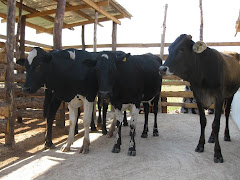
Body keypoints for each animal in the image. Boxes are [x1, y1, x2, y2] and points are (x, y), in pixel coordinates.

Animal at [159, 34, 240, 163]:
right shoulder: (198, 97)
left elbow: (216, 124)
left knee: (226, 113)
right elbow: (203, 121)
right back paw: (212, 137)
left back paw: (227, 135)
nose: (162, 69)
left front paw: (218, 153)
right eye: (169, 49)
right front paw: (200, 145)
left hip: (231, 94)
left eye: (181, 50)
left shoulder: (219, 98)